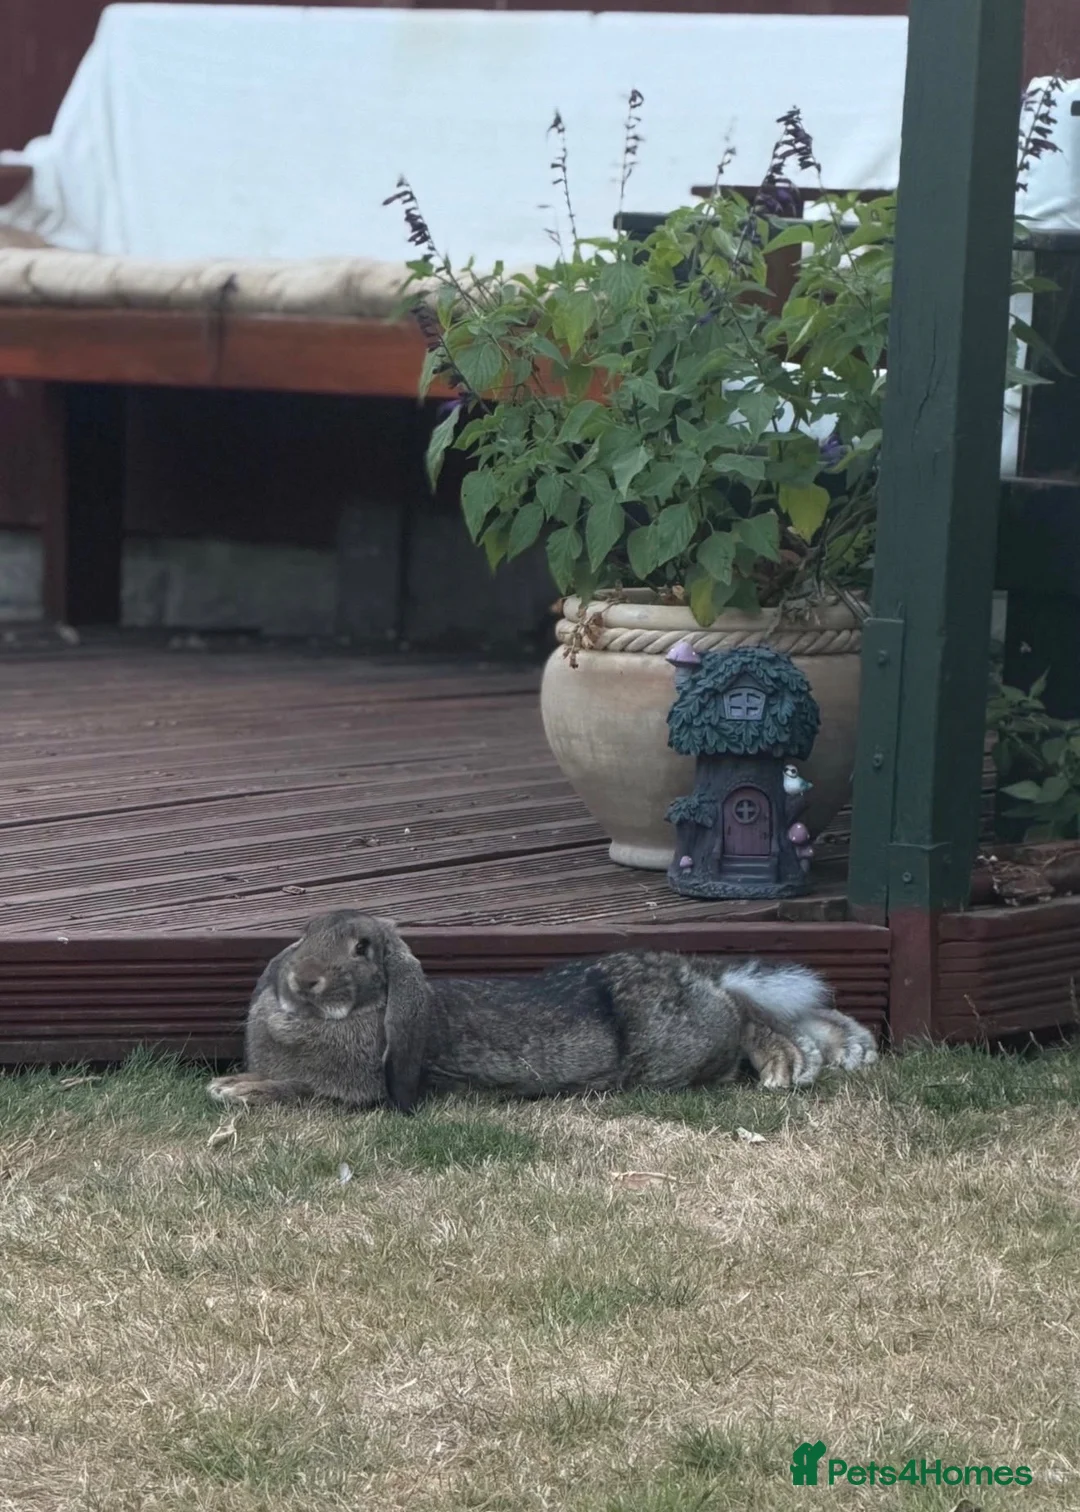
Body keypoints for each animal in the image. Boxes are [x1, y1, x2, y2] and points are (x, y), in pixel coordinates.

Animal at [207, 909, 877, 1114]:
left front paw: (232, 1088)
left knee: (740, 1021)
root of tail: (696, 975)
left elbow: (296, 1087)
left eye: (362, 949)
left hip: (673, 1049)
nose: (302, 979)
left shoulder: (351, 1091)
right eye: (306, 931)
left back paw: (788, 1064)